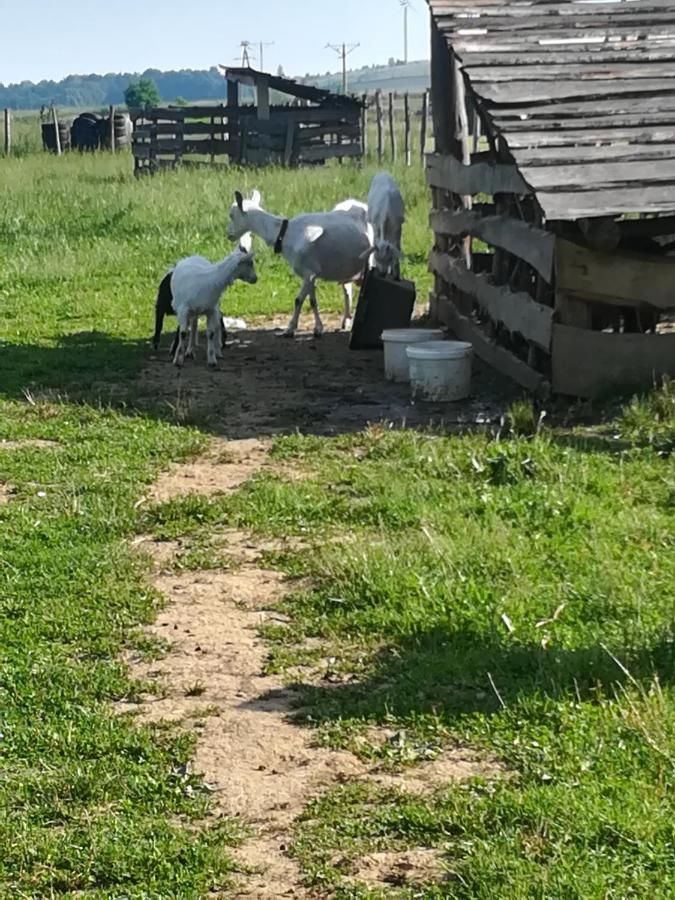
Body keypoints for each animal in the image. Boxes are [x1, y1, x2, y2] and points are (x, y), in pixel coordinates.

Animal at [172, 239, 258, 370]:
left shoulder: (211, 310)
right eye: (250, 263)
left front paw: (212, 359)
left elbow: (211, 333)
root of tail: (193, 256)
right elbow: (183, 333)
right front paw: (178, 359)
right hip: (189, 309)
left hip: (210, 307)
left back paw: (214, 351)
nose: (255, 279)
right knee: (193, 326)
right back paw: (190, 350)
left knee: (205, 325)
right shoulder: (183, 310)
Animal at [230, 192, 372, 336]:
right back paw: (346, 320)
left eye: (231, 215)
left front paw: (290, 329)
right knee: (347, 290)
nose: (229, 235)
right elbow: (313, 301)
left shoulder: (309, 274)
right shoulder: (311, 274)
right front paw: (318, 328)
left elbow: (298, 300)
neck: (286, 234)